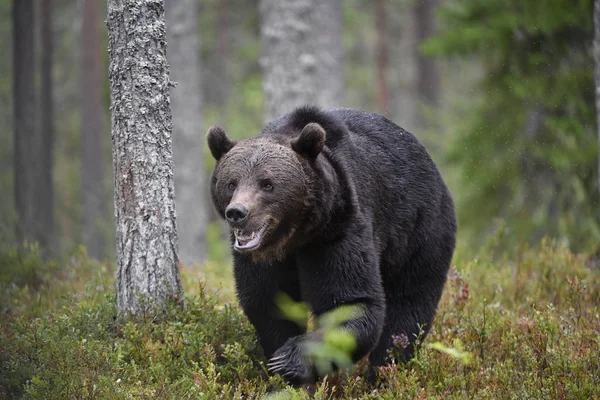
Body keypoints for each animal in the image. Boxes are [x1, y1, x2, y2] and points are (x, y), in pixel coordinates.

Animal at [209, 106, 458, 384]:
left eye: (268, 184)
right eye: (231, 183)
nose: (237, 212)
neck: (295, 236)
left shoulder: (337, 232)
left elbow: (351, 302)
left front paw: (290, 359)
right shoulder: (262, 259)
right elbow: (267, 301)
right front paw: (280, 365)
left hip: (420, 232)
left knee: (409, 303)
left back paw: (386, 370)